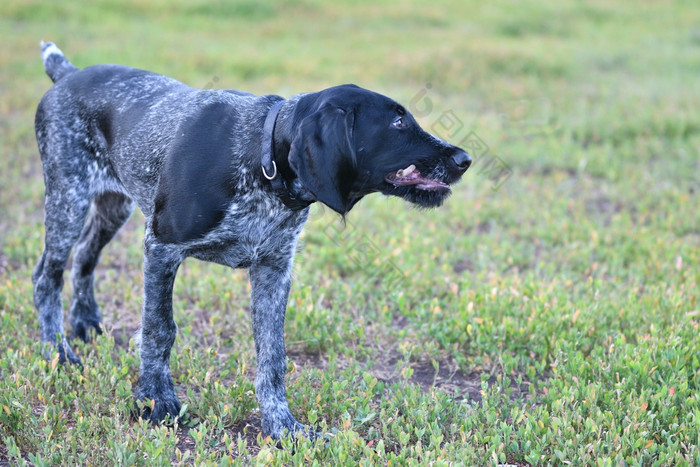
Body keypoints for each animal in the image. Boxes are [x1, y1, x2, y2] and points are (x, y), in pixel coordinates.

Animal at [32, 42, 470, 440]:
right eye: (397, 124)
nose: (464, 159)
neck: (263, 163)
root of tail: (68, 73)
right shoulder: (161, 246)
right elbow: (159, 329)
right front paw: (156, 403)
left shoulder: (273, 269)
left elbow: (273, 356)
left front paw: (282, 426)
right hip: (69, 199)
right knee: (46, 277)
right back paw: (57, 351)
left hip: (113, 206)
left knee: (85, 257)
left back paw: (85, 323)